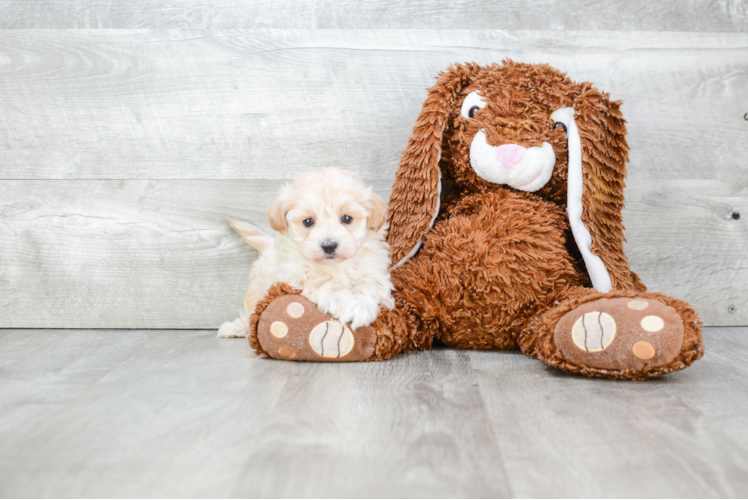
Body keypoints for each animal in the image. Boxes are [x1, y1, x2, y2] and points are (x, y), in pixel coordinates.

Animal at [216, 169, 394, 340]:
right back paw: (234, 328)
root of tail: (267, 246)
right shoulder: (294, 273)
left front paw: (359, 308)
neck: (335, 265)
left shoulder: (374, 270)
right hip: (257, 290)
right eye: (308, 222)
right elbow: (319, 280)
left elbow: (370, 286)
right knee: (250, 313)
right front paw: (341, 299)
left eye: (347, 218)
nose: (329, 245)